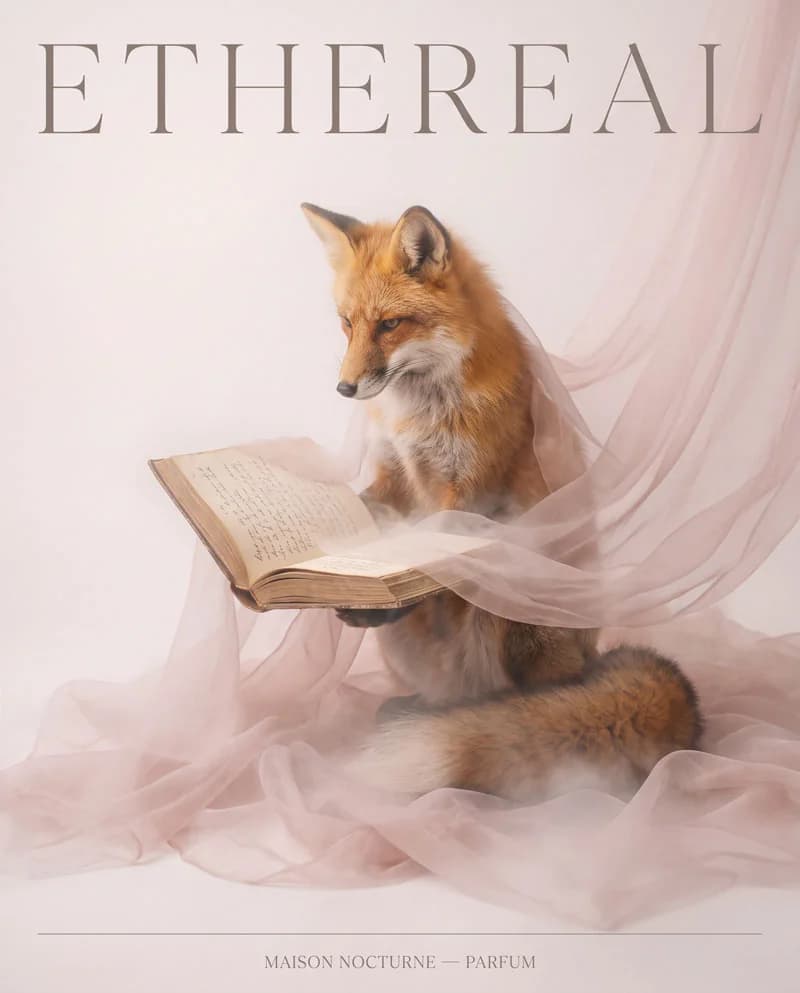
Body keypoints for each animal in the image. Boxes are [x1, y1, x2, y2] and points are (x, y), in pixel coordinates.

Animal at [301, 201, 703, 802]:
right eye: (347, 324)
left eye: (390, 324)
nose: (344, 389)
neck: (423, 411)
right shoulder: (394, 474)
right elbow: (380, 514)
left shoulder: (471, 490)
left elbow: (428, 553)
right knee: (454, 698)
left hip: (515, 603)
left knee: (530, 699)